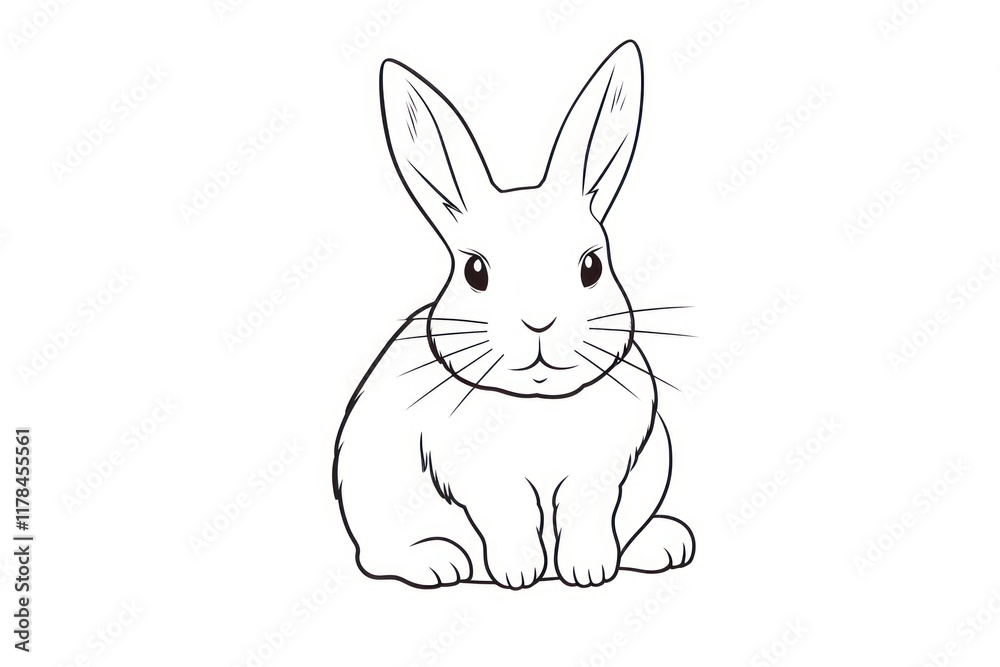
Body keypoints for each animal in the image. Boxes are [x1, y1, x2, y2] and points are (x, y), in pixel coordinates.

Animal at [332, 40, 694, 589]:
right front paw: (519, 574)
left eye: (592, 265)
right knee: (377, 556)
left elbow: (586, 518)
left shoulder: (600, 474)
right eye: (475, 271)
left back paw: (664, 544)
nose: (539, 323)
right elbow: (510, 518)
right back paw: (440, 563)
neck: (539, 404)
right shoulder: (481, 479)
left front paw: (588, 572)